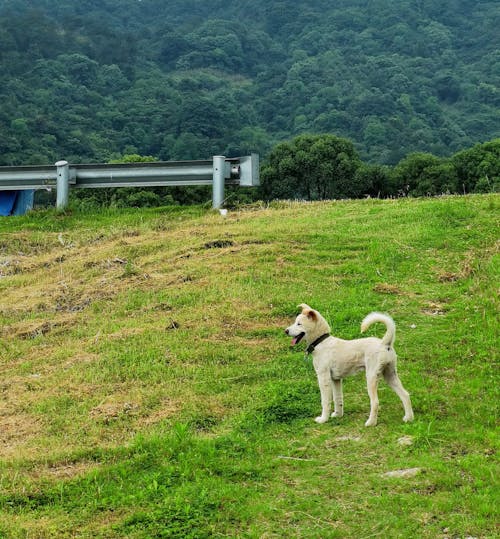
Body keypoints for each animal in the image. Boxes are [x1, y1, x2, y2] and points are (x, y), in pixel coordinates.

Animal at [286, 306, 414, 428]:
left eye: (299, 323)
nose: (286, 331)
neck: (321, 342)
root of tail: (384, 343)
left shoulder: (324, 378)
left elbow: (325, 401)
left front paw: (323, 419)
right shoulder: (336, 379)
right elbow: (338, 398)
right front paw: (338, 415)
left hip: (371, 377)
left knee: (375, 402)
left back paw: (371, 423)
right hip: (390, 375)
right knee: (405, 395)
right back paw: (409, 418)